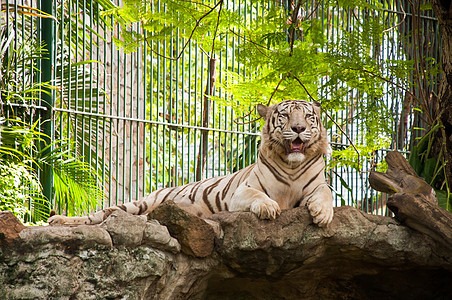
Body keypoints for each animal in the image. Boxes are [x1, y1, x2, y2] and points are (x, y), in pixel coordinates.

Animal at [47, 99, 334, 226]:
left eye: (308, 116)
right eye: (285, 116)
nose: (298, 128)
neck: (292, 164)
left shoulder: (317, 186)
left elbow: (326, 194)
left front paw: (322, 214)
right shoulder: (242, 191)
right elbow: (259, 196)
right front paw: (268, 207)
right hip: (137, 203)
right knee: (97, 216)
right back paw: (59, 221)